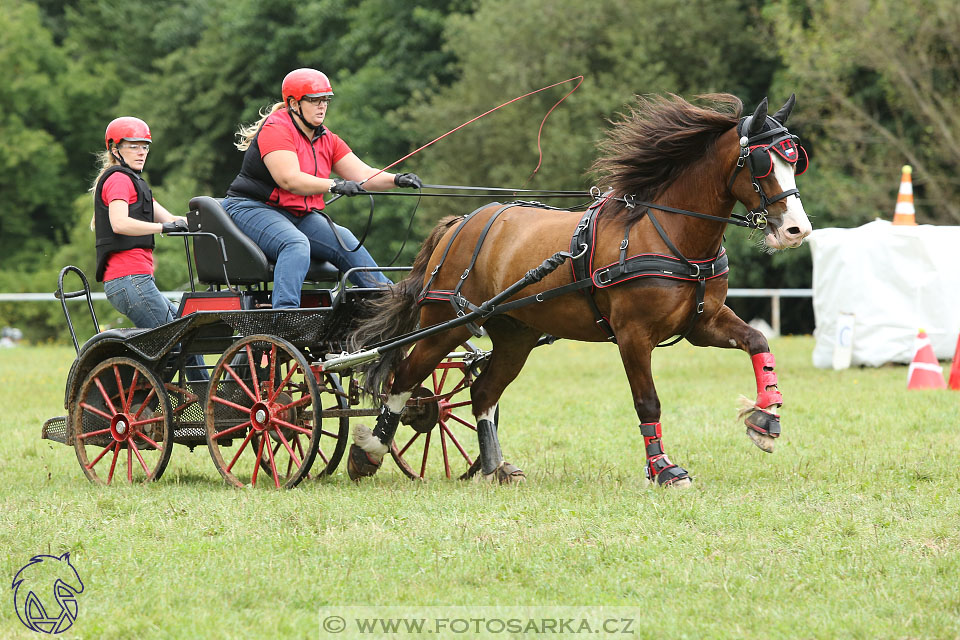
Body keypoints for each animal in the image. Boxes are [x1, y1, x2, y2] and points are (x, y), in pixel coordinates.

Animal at [344, 92, 808, 488]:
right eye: (762, 163)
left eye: (795, 161)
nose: (796, 230)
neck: (668, 233)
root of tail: (461, 223)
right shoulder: (633, 334)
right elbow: (647, 401)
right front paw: (663, 468)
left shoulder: (703, 323)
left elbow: (757, 341)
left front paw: (765, 418)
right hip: (447, 323)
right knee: (406, 376)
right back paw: (371, 450)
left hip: (515, 334)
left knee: (482, 392)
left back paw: (495, 466)